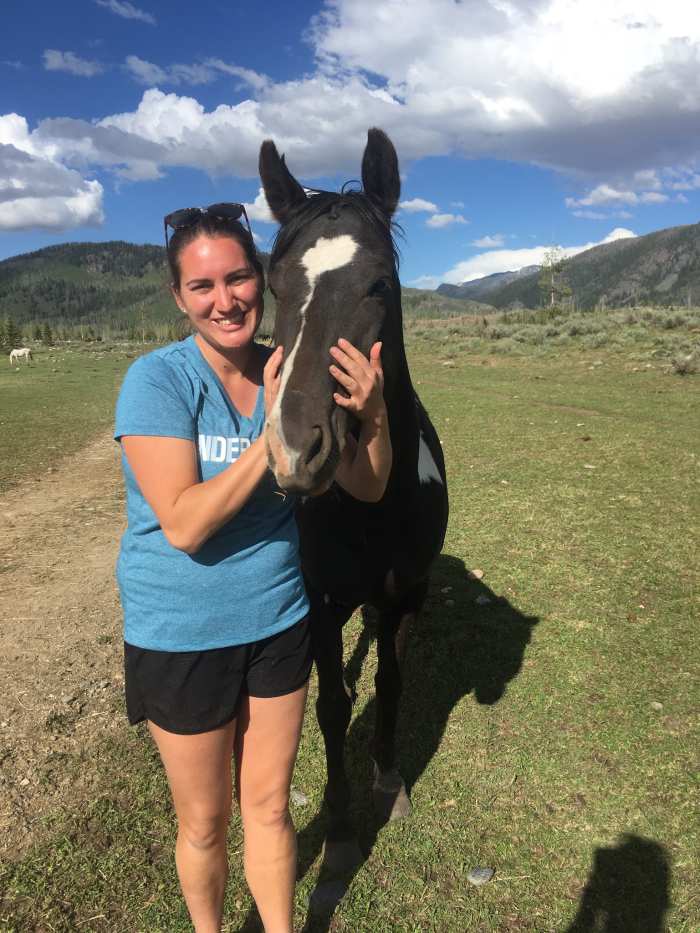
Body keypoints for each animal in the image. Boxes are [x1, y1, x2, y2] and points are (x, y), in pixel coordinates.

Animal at [260, 128, 449, 872]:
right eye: (275, 284)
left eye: (380, 283)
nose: (295, 449)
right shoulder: (318, 603)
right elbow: (334, 706)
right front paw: (340, 827)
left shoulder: (400, 593)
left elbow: (390, 684)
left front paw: (390, 780)